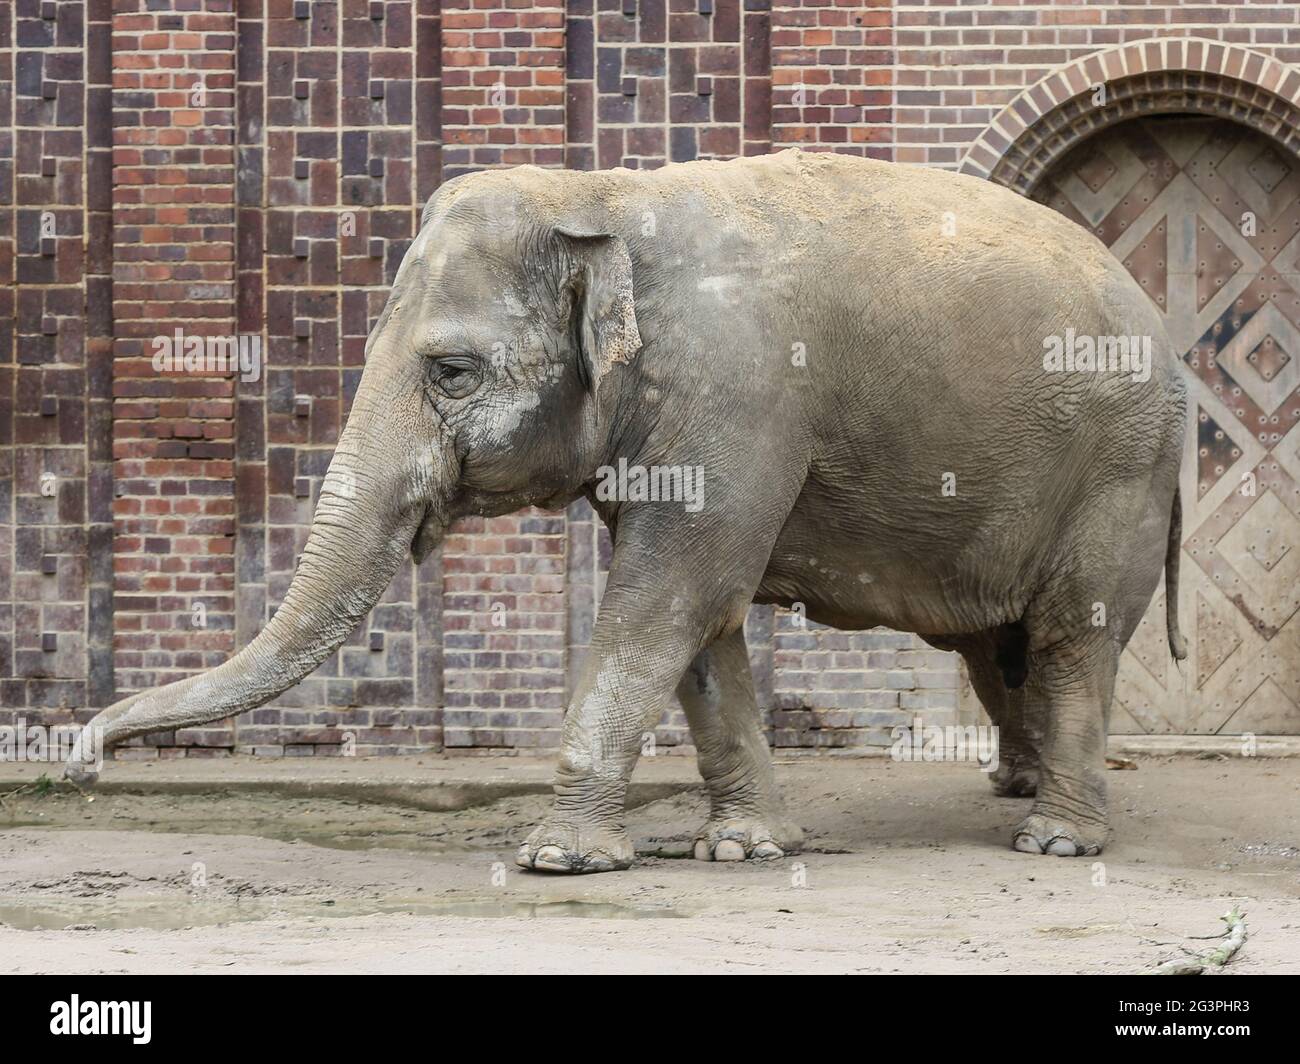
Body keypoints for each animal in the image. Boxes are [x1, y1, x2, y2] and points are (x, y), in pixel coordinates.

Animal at [68, 153, 1190, 874]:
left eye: (450, 370)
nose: (80, 759)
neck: (602, 193)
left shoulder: (738, 392)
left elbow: (670, 595)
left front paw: (557, 857)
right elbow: (704, 620)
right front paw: (743, 847)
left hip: (1120, 469)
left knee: (1071, 633)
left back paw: (1057, 839)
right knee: (995, 645)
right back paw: (1016, 789)